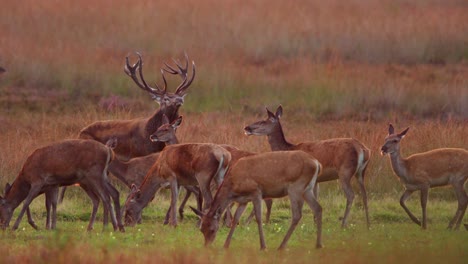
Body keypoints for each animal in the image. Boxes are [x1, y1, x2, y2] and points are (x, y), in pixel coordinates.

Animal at [192, 150, 324, 251]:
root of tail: (317, 163)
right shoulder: (243, 200)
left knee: (297, 214)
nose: (207, 246)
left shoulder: (256, 191)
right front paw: (226, 245)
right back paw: (318, 244)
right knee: (318, 208)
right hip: (307, 189)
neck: (233, 187)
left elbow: (258, 218)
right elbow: (236, 219)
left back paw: (281, 246)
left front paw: (263, 246)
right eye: (201, 229)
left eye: (212, 229)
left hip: (295, 187)